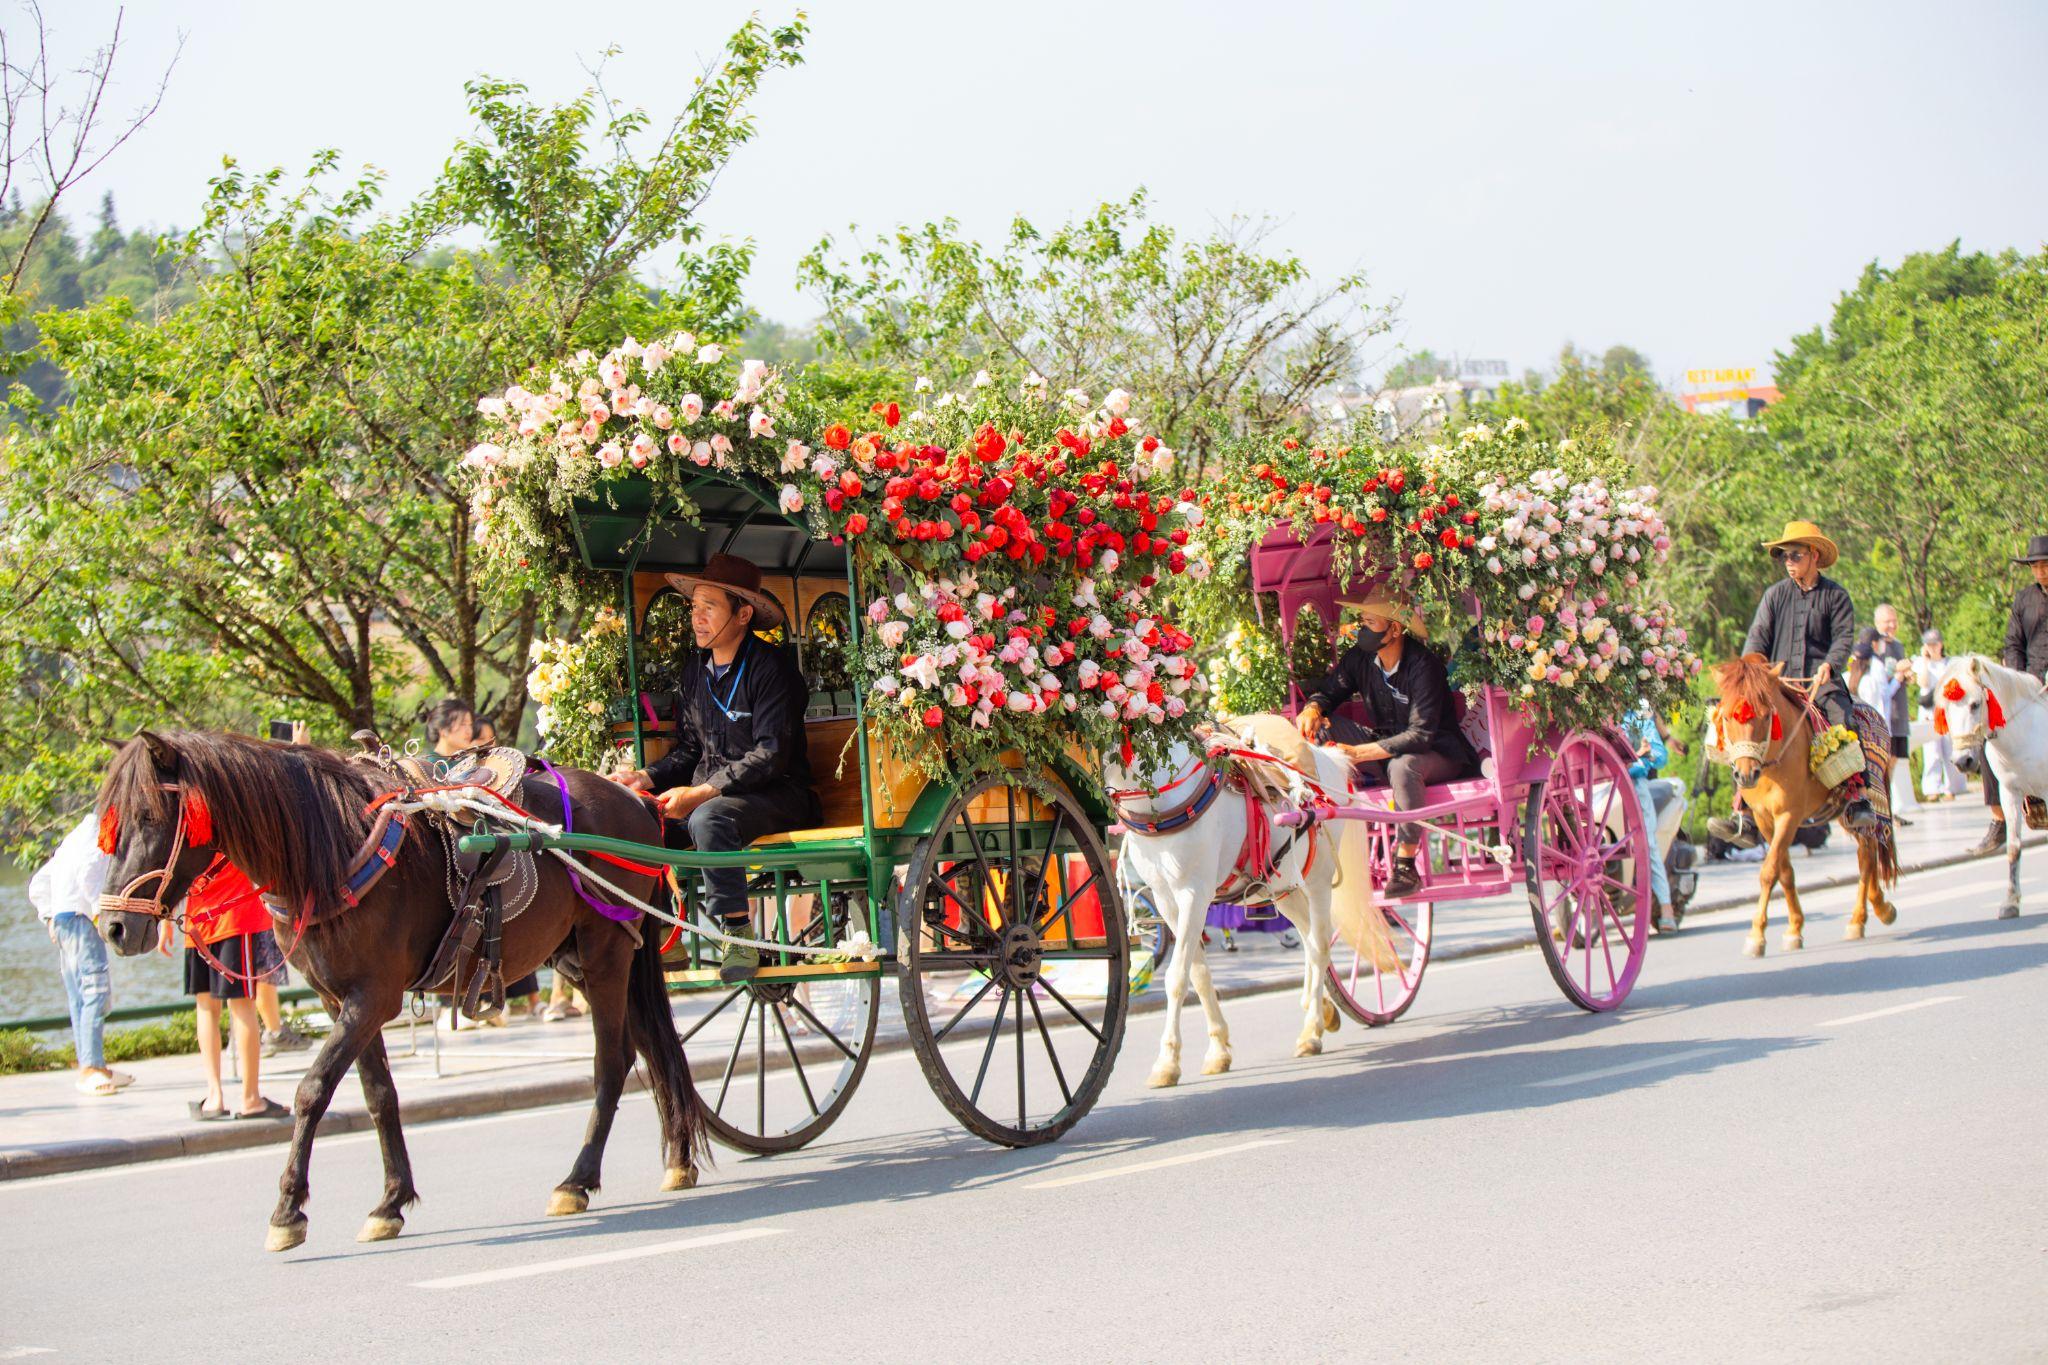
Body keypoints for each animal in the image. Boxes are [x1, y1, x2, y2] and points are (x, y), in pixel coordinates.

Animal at [92, 732, 708, 1252]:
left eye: (148, 816)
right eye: (110, 826)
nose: (114, 926)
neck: (329, 850)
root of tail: (635, 802)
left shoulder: (373, 996)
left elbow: (313, 1090)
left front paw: (288, 1209)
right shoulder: (341, 1000)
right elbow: (379, 1096)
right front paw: (390, 1201)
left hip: (607, 950)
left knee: (613, 1062)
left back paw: (578, 1179)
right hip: (585, 957)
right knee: (652, 1048)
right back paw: (678, 1157)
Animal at [1703, 663, 1892, 961]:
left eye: (1765, 716)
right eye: (1727, 717)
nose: (1745, 775)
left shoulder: (1788, 816)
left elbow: (1768, 872)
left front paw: (1756, 936)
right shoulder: (1765, 819)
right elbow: (1784, 872)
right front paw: (1793, 929)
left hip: (1865, 806)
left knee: (1867, 853)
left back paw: (1867, 915)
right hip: (1842, 813)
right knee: (1867, 854)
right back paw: (1872, 910)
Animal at [1925, 650, 2039, 916]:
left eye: (1975, 704)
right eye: (1945, 710)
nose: (1962, 760)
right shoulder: (2010, 793)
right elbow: (2014, 847)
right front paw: (2010, 902)